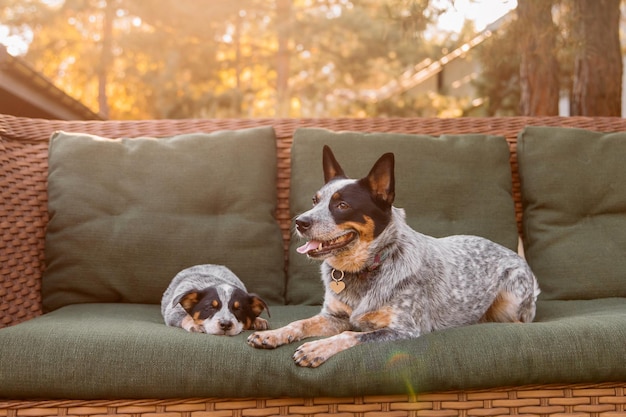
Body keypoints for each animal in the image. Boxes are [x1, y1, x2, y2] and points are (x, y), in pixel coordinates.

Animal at [246, 145, 540, 366]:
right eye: (314, 200)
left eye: (342, 205)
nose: (300, 222)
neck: (365, 268)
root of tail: (512, 253)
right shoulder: (334, 316)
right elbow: (300, 322)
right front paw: (274, 334)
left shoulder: (404, 329)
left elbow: (350, 335)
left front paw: (315, 348)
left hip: (512, 299)